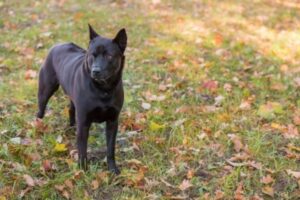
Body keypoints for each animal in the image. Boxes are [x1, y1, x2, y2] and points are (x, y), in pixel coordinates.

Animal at [37, 23, 127, 173]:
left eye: (109, 56)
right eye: (92, 55)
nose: (95, 71)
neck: (103, 90)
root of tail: (58, 45)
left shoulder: (113, 122)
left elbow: (110, 148)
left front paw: (113, 169)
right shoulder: (84, 122)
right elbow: (83, 150)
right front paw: (83, 170)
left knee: (71, 110)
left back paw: (71, 127)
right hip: (45, 90)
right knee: (40, 110)